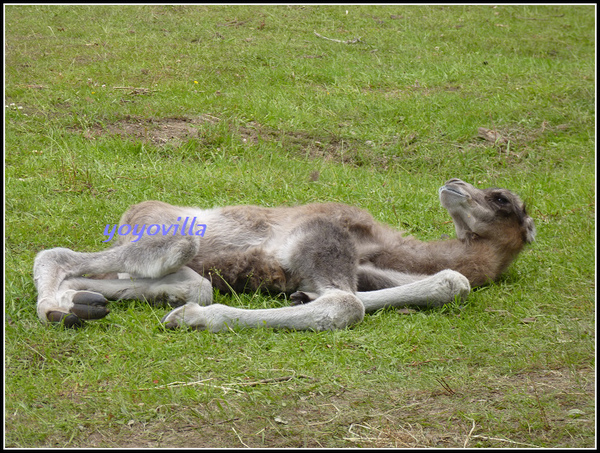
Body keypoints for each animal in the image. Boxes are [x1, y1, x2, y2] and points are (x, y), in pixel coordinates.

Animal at [34, 178, 536, 330]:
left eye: (501, 199)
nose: (453, 183)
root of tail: (128, 214)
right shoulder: (318, 235)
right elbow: (345, 304)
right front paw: (195, 320)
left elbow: (453, 281)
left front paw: (302, 297)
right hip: (175, 236)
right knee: (53, 254)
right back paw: (59, 310)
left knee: (183, 283)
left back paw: (81, 304)